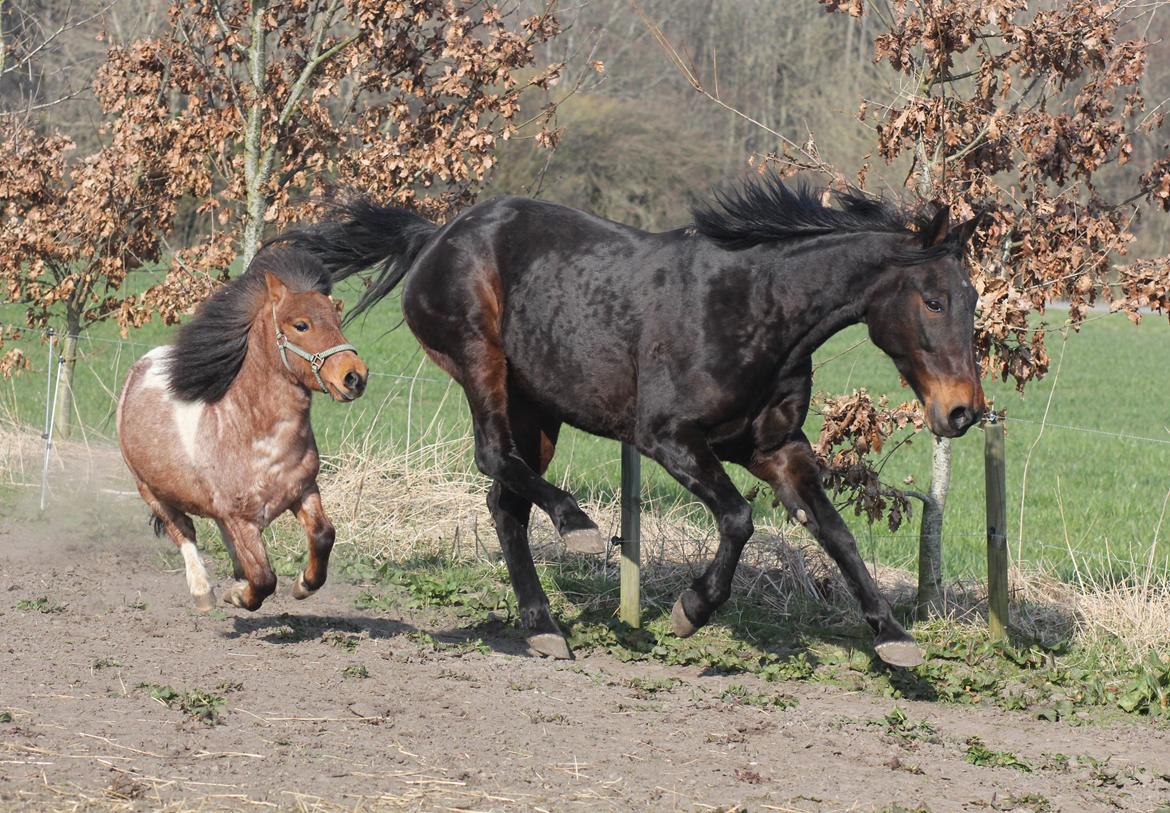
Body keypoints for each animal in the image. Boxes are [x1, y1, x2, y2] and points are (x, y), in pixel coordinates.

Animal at [116, 247, 365, 608]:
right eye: (300, 325)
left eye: (337, 320)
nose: (355, 376)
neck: (257, 436)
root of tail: (142, 366)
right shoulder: (240, 518)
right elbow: (263, 578)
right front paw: (238, 595)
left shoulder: (304, 490)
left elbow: (322, 535)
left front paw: (303, 584)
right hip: (150, 490)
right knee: (183, 530)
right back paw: (203, 591)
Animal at [278, 175, 982, 664]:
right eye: (933, 300)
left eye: (972, 298)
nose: (963, 411)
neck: (757, 308)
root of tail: (434, 236)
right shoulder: (667, 437)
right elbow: (738, 517)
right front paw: (691, 609)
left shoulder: (777, 447)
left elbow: (836, 534)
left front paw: (893, 637)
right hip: (484, 368)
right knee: (493, 460)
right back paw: (579, 529)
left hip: (540, 410)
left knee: (504, 501)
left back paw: (543, 625)